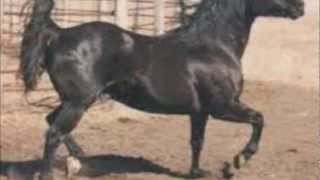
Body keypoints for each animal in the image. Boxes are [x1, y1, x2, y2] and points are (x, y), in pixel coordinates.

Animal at [20, 0, 304, 179]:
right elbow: (259, 119)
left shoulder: (199, 111)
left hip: (74, 100)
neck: (213, 47)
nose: (300, 7)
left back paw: (79, 159)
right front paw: (236, 163)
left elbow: (197, 142)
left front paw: (197, 173)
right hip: (78, 102)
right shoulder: (223, 107)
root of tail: (59, 34)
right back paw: (52, 172)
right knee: (54, 133)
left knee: (51, 121)